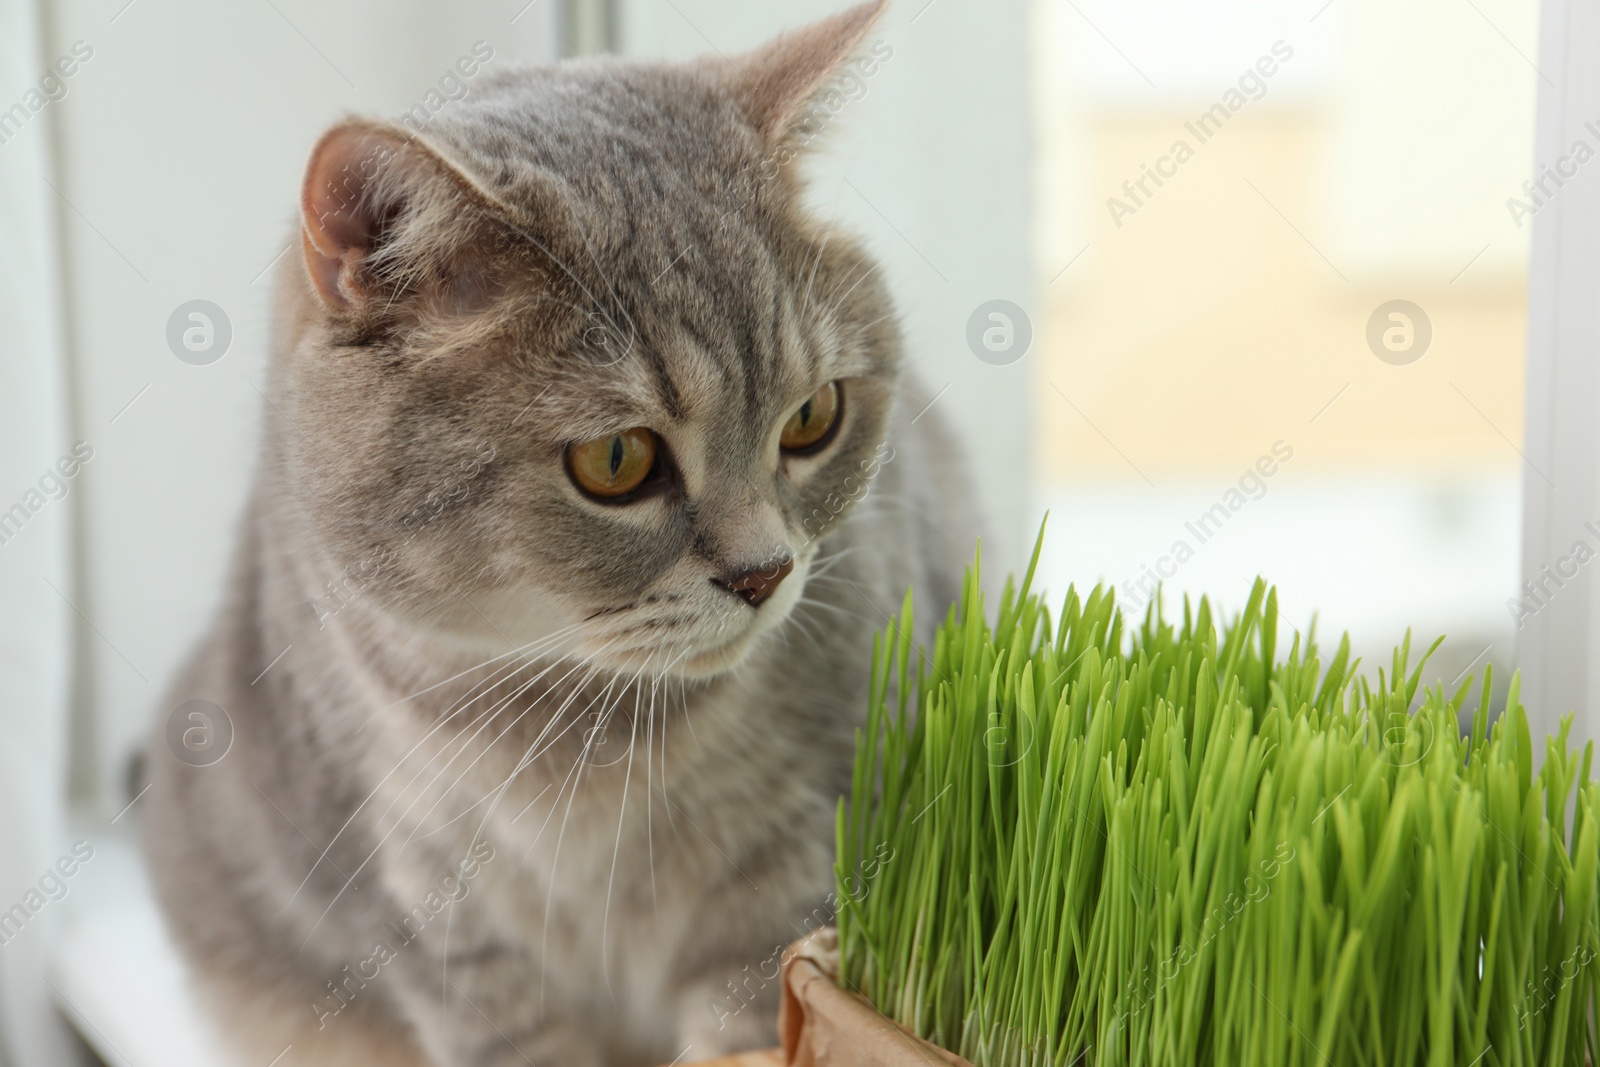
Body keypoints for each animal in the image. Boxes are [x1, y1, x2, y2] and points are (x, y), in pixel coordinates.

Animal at [147, 4, 972, 1062]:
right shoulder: (434, 926)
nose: (765, 572)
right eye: (616, 459)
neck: (575, 729)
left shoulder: (797, 862)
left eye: (813, 417)